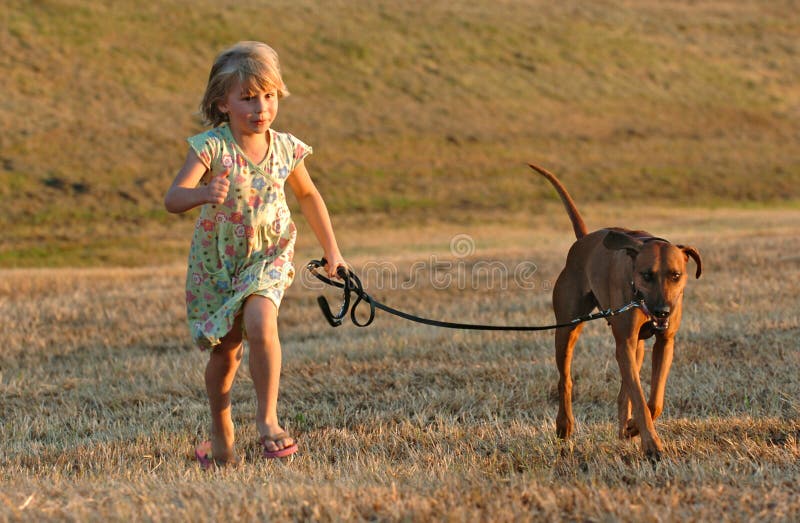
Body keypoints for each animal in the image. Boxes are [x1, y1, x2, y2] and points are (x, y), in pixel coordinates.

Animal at [532, 163, 700, 458]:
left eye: (676, 275)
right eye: (646, 275)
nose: (663, 311)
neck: (639, 297)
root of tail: (583, 240)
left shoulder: (664, 341)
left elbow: (653, 400)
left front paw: (635, 427)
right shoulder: (625, 342)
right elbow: (640, 398)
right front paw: (652, 445)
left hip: (637, 345)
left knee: (625, 391)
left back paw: (625, 430)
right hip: (567, 328)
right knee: (565, 379)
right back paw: (565, 425)